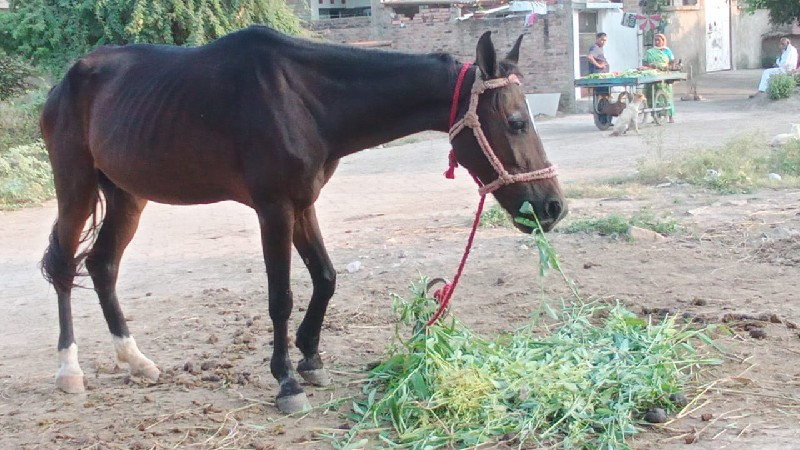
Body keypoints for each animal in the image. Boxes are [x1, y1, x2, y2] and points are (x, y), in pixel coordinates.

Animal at [40, 23, 564, 412]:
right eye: (516, 122)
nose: (552, 208)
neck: (302, 98)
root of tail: (66, 81)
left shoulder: (303, 203)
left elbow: (326, 277)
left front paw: (311, 358)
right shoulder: (273, 208)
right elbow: (281, 297)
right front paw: (287, 381)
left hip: (126, 194)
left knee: (103, 265)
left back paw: (135, 360)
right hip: (76, 185)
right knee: (65, 267)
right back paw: (69, 369)